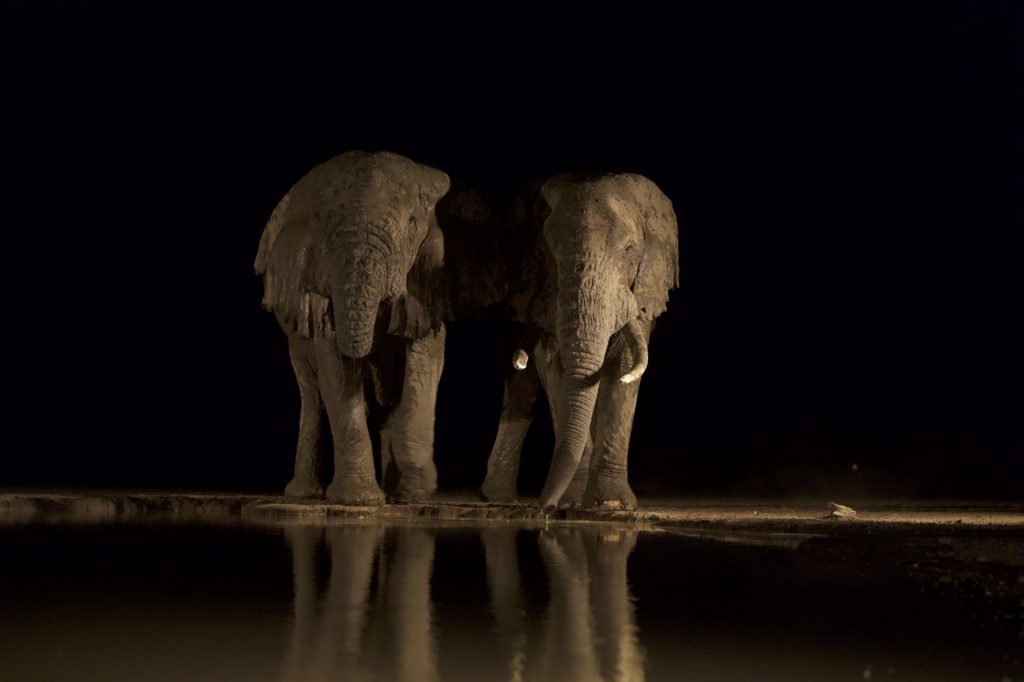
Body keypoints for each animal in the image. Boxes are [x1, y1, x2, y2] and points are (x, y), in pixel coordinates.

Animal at [256, 151, 503, 505]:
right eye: (322, 225)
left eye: (412, 225)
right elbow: (336, 369)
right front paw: (359, 500)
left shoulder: (431, 285)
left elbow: (423, 363)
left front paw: (415, 492)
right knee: (312, 396)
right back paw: (304, 494)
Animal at [481, 173, 679, 512]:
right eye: (543, 253)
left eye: (629, 250)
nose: (544, 509)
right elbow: (553, 369)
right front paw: (571, 502)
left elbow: (625, 368)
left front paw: (610, 504)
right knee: (522, 390)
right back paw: (497, 497)